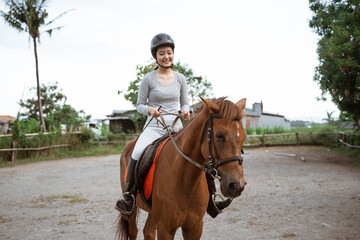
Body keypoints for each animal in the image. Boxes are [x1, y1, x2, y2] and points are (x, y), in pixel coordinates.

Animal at [115, 96, 248, 239]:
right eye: (219, 135)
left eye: (244, 136)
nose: (237, 185)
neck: (186, 181)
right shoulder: (165, 229)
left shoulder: (194, 227)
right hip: (132, 210)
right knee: (134, 231)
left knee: (148, 231)